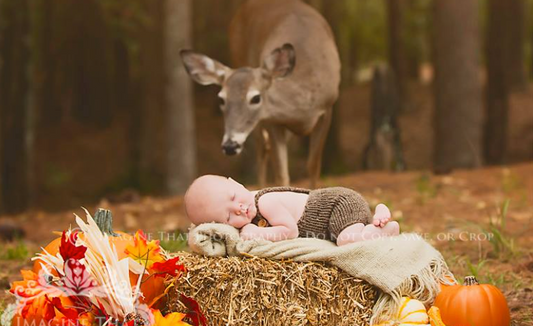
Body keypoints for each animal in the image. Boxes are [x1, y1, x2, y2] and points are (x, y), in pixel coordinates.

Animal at [182, 0, 340, 187]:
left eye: (256, 98)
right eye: (221, 99)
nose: (229, 146)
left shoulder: (327, 109)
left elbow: (313, 166)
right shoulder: (272, 120)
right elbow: (282, 174)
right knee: (261, 148)